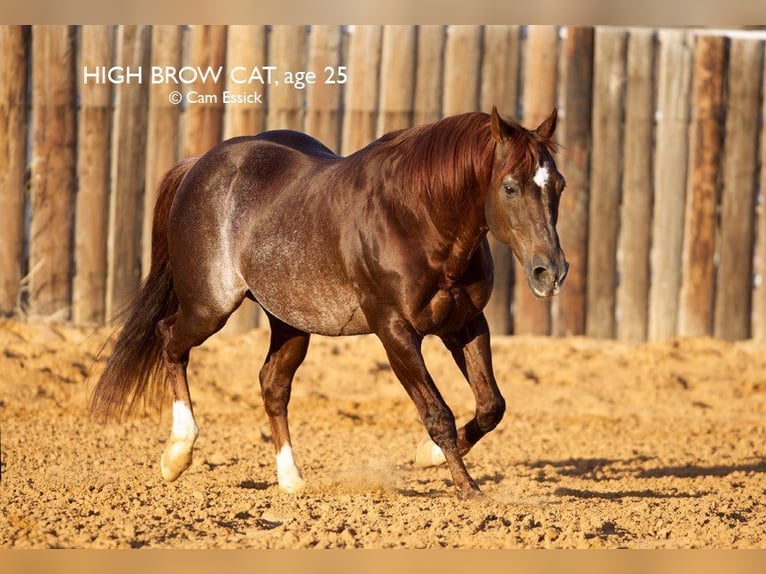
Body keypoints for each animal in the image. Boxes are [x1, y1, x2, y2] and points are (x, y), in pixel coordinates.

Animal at [90, 107, 568, 500]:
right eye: (510, 187)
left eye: (559, 186)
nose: (551, 272)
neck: (417, 218)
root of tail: (199, 164)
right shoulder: (395, 332)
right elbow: (437, 413)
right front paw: (467, 489)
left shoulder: (465, 323)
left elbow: (491, 406)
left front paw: (426, 456)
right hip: (210, 306)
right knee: (169, 339)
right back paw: (177, 455)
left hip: (289, 320)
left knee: (272, 385)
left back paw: (291, 481)